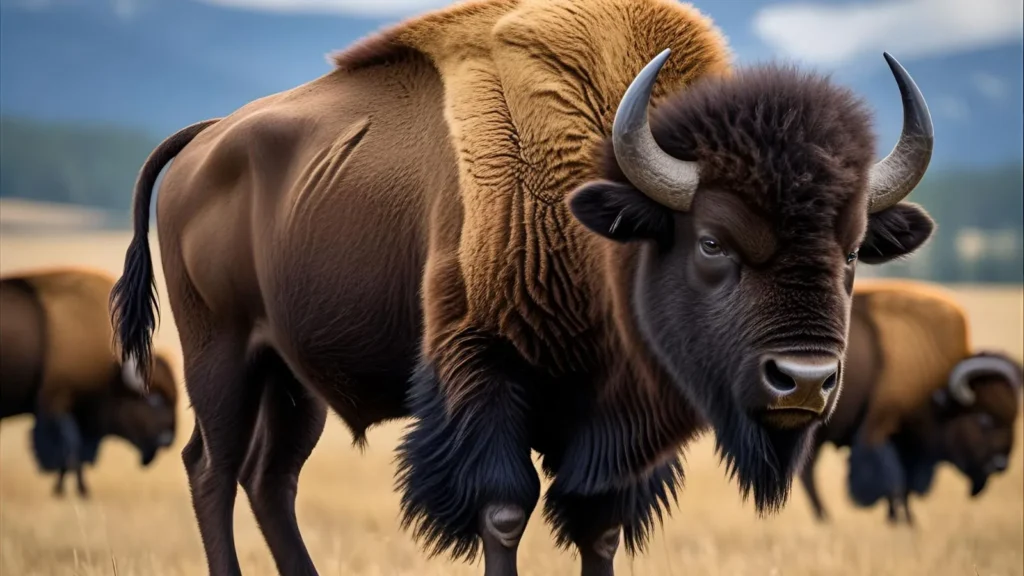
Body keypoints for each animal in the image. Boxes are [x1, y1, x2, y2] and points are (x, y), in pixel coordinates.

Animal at [110, 1, 937, 575]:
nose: (805, 380)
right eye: (711, 241)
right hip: (221, 356)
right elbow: (504, 513)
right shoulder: (486, 382)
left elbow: (598, 526)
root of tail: (209, 137)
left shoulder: (613, 428)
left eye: (854, 250)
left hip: (292, 379)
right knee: (213, 470)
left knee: (270, 479)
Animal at [800, 280, 1022, 524]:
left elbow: (903, 484)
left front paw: (905, 519)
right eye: (984, 419)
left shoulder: (905, 441)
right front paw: (901, 521)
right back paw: (825, 518)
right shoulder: (879, 427)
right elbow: (889, 479)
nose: (1000, 464)